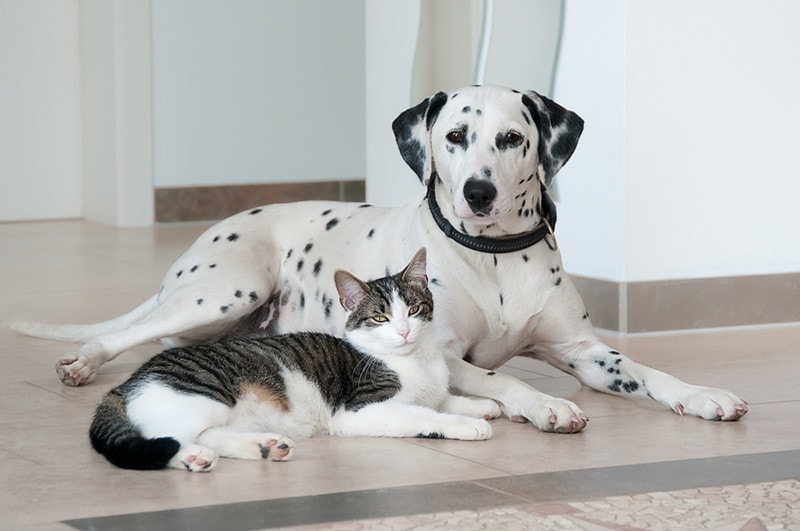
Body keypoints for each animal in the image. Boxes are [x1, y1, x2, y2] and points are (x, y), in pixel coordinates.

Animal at [14, 86, 752, 432]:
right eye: (454, 136)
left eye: (512, 138)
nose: (479, 192)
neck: (494, 256)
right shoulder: (447, 354)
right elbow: (507, 380)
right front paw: (543, 406)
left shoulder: (585, 352)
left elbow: (649, 372)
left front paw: (703, 394)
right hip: (225, 290)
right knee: (128, 334)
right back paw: (83, 362)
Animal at [90, 249, 496, 474]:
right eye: (380, 318)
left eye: (413, 310)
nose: (404, 331)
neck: (417, 360)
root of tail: (127, 383)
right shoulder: (359, 410)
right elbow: (425, 414)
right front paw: (468, 424)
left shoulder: (432, 388)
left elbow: (442, 400)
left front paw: (483, 405)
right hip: (201, 397)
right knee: (164, 436)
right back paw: (192, 457)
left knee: (208, 435)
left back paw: (262, 447)